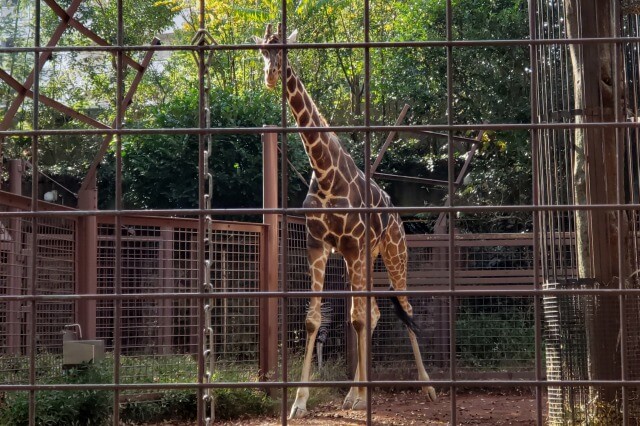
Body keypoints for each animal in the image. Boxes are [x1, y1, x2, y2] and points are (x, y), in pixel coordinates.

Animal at [254, 23, 436, 420]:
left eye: (285, 50)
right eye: (261, 52)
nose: (271, 76)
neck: (325, 173)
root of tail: (397, 215)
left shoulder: (352, 247)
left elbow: (355, 318)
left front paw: (362, 395)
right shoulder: (318, 245)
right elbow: (314, 320)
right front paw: (300, 402)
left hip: (393, 253)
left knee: (402, 309)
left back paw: (427, 386)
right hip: (367, 257)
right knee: (375, 312)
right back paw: (354, 392)